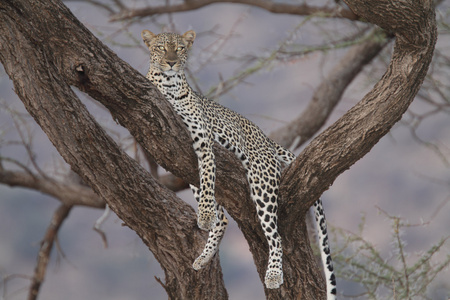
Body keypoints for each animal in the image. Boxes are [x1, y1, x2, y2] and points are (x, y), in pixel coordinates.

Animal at [142, 28, 336, 298]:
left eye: (179, 48)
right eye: (160, 48)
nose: (171, 62)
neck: (170, 84)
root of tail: (266, 138)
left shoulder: (203, 139)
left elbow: (208, 177)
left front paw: (204, 215)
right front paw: (206, 217)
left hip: (262, 185)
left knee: (275, 236)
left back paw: (273, 274)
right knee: (222, 219)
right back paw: (204, 256)